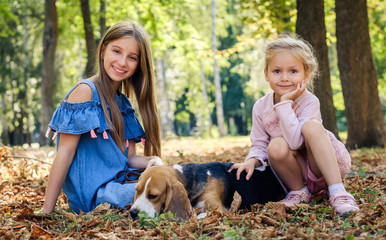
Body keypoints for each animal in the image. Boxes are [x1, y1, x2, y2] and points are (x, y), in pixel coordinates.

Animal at [129, 162, 284, 220]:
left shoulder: (220, 209)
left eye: (153, 195)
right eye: (137, 190)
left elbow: (201, 215)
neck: (195, 177)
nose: (133, 213)